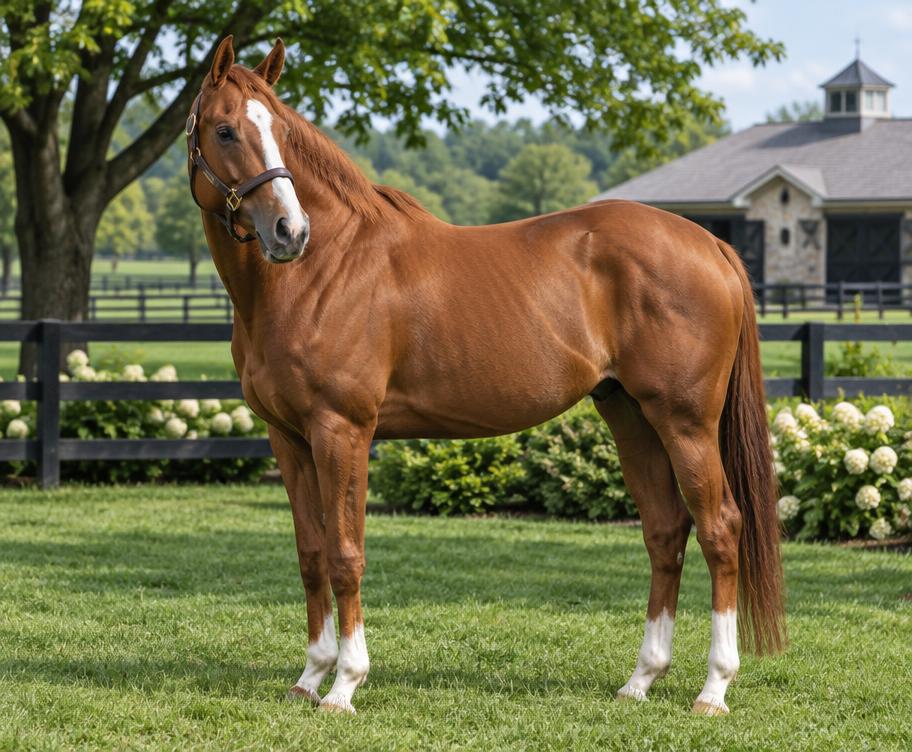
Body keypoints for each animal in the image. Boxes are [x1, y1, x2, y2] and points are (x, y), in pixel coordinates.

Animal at [187, 36, 785, 716]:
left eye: (281, 132)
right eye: (226, 129)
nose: (290, 231)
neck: (321, 271)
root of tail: (711, 244)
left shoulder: (342, 432)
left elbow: (345, 554)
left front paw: (344, 684)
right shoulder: (288, 439)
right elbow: (311, 554)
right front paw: (310, 676)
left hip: (685, 421)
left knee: (720, 529)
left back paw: (714, 687)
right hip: (630, 414)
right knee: (666, 530)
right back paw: (641, 679)